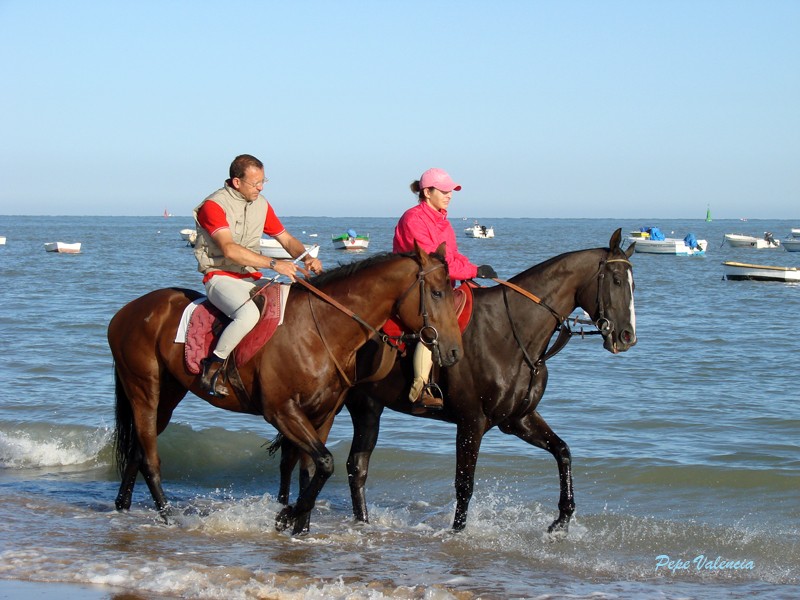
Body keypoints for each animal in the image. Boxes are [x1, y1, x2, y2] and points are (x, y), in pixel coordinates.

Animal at [108, 244, 460, 536]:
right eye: (437, 293)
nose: (454, 351)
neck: (319, 329)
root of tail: (125, 312)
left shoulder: (321, 414)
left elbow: (312, 470)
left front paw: (299, 526)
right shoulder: (282, 411)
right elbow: (325, 463)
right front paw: (286, 516)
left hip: (167, 397)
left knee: (139, 450)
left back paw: (124, 507)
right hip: (144, 391)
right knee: (150, 457)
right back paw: (168, 517)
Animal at [276, 230, 636, 536]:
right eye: (617, 280)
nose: (626, 336)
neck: (511, 330)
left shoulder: (518, 419)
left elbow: (563, 452)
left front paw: (562, 519)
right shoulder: (471, 421)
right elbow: (465, 484)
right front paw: (457, 533)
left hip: (365, 407)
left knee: (355, 466)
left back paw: (357, 522)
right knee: (297, 458)